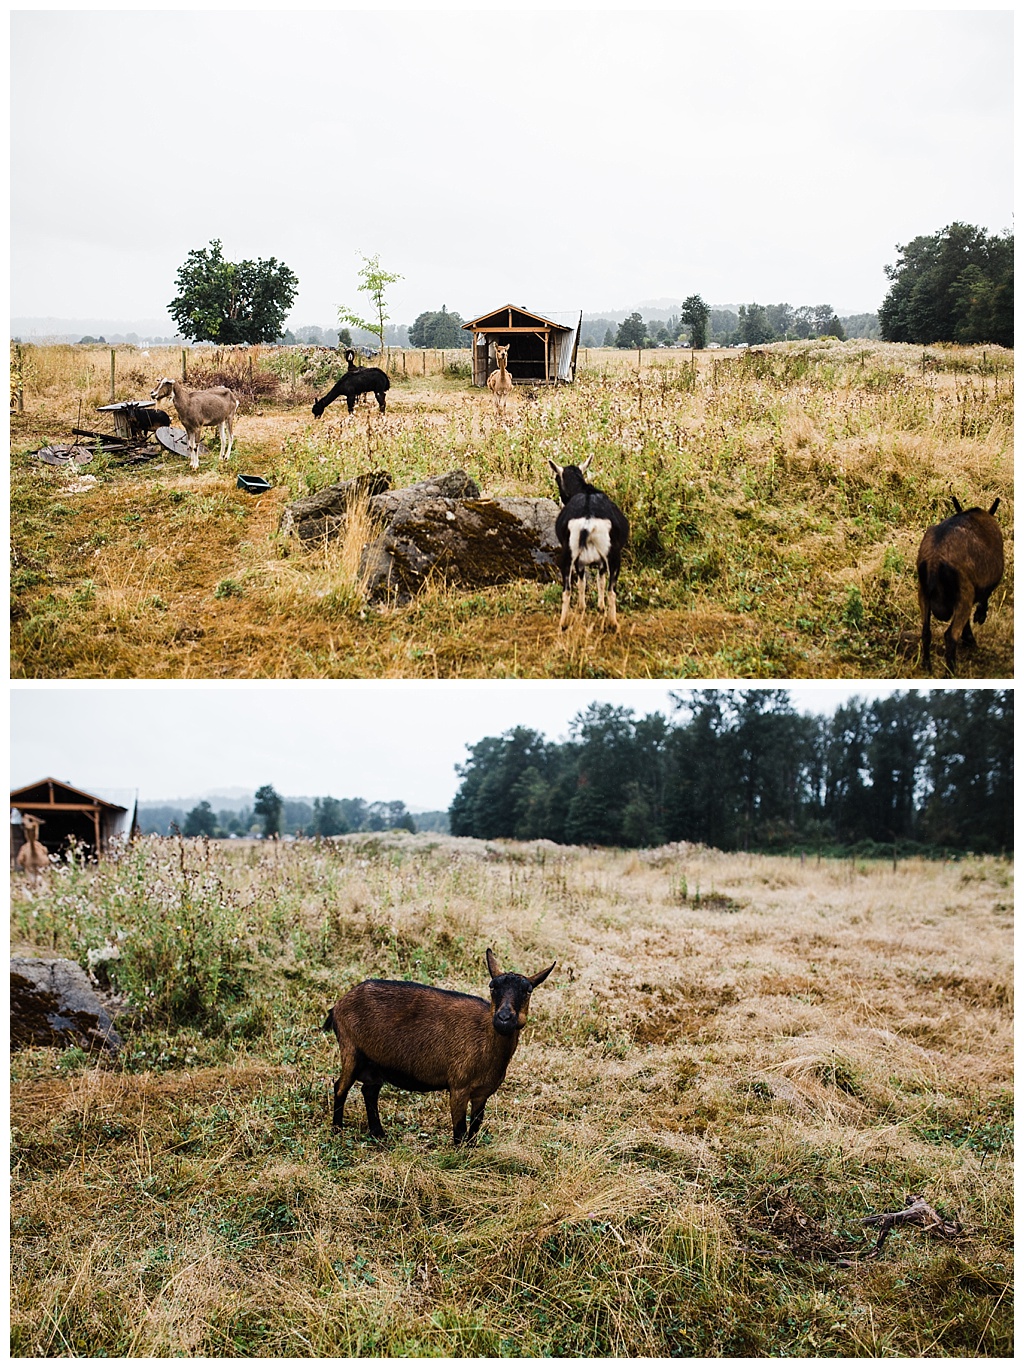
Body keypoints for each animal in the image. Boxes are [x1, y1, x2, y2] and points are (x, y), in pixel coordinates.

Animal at [324, 941, 555, 1143]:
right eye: (492, 986)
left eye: (528, 990)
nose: (504, 1018)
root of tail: (338, 1006)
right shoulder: (459, 1087)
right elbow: (459, 1131)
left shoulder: (483, 1092)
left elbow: (474, 1128)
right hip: (351, 1049)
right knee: (340, 1087)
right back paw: (337, 1130)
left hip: (376, 1062)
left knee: (369, 1091)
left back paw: (378, 1134)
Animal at [546, 456, 626, 632]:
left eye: (556, 478)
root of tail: (588, 519)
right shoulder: (599, 562)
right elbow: (599, 581)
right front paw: (599, 607)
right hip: (612, 557)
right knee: (611, 591)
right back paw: (612, 624)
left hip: (569, 556)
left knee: (567, 590)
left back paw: (564, 623)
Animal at [913, 497, 1000, 678]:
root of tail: (934, 562)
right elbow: (983, 599)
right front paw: (979, 619)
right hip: (964, 595)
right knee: (950, 635)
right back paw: (950, 671)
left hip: (923, 593)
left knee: (926, 632)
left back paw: (927, 665)